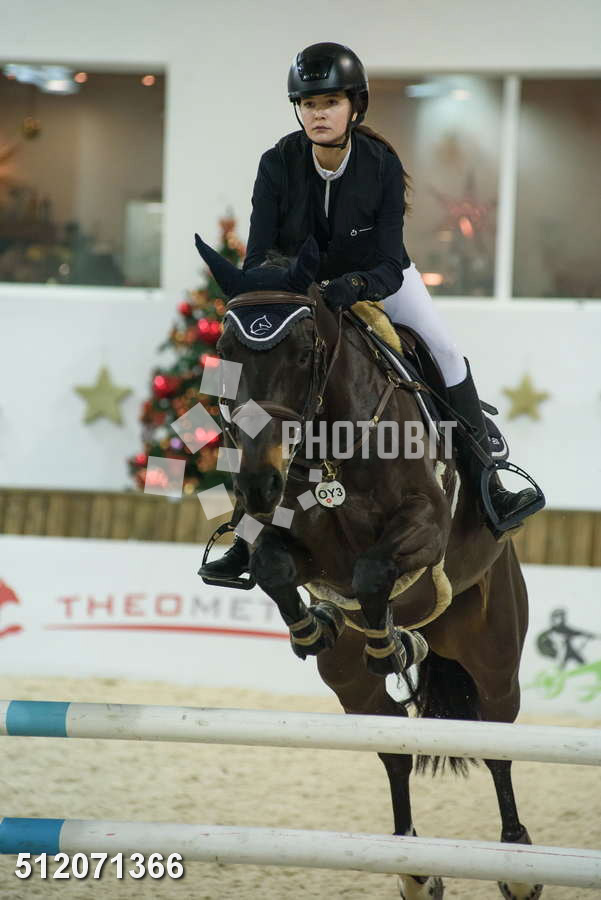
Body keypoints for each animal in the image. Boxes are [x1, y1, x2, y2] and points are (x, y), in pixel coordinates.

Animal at [195, 233, 542, 900]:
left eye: (305, 351)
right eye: (224, 353)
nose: (256, 483)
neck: (331, 442)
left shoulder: (425, 527)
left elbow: (373, 572)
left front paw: (390, 645)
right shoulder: (290, 541)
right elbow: (275, 566)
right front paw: (313, 628)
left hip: (493, 649)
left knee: (496, 742)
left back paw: (517, 863)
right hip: (349, 684)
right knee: (393, 746)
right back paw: (414, 867)